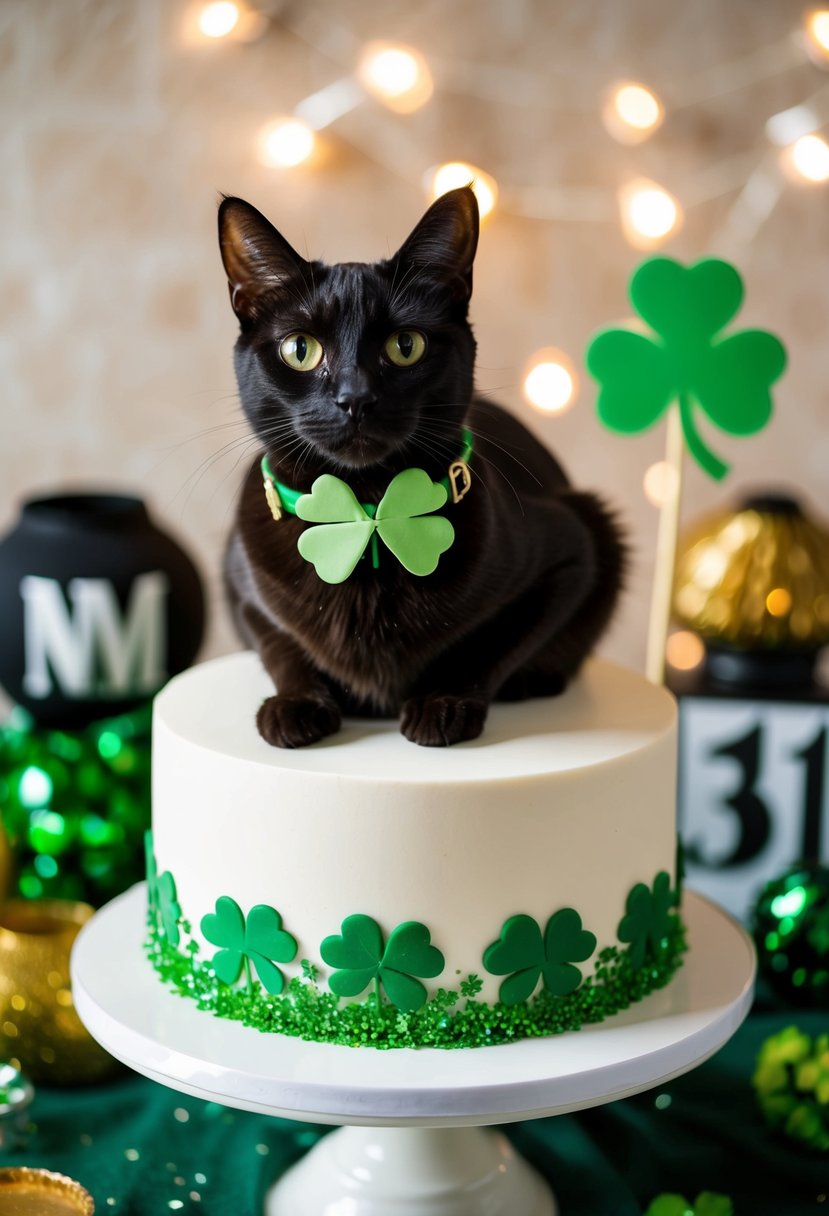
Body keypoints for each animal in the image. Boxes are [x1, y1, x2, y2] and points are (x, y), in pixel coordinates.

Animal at [220, 184, 619, 744]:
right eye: (300, 349)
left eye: (405, 346)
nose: (355, 399)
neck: (367, 508)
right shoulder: (241, 582)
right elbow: (279, 645)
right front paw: (296, 704)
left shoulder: (576, 547)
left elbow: (495, 646)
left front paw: (444, 703)